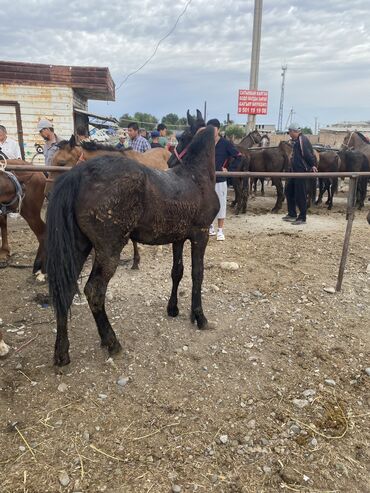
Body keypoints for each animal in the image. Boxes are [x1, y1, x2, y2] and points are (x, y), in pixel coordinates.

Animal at [47, 115, 220, 364]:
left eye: (183, 137)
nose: (170, 161)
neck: (195, 176)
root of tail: (79, 174)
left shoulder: (178, 237)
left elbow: (177, 271)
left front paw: (174, 309)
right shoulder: (201, 234)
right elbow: (198, 274)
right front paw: (200, 317)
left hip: (79, 247)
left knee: (66, 289)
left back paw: (62, 352)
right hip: (108, 249)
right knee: (94, 291)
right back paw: (112, 342)